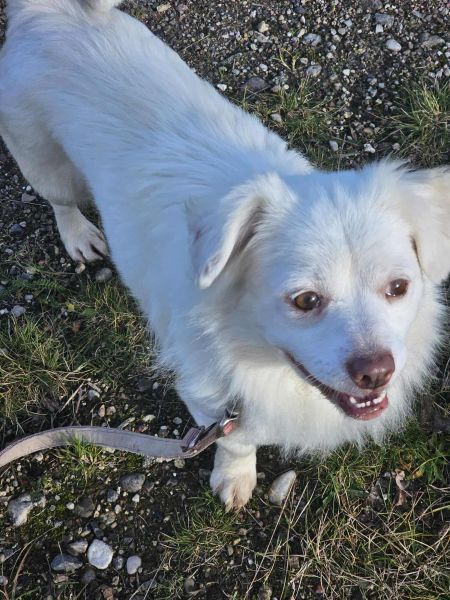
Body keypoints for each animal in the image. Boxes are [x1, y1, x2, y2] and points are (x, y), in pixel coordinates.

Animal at [1, 0, 449, 510]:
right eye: (306, 301)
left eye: (399, 287)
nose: (376, 373)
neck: (260, 355)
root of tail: (46, 10)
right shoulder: (209, 400)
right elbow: (237, 441)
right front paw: (235, 477)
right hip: (44, 160)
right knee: (60, 200)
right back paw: (78, 234)